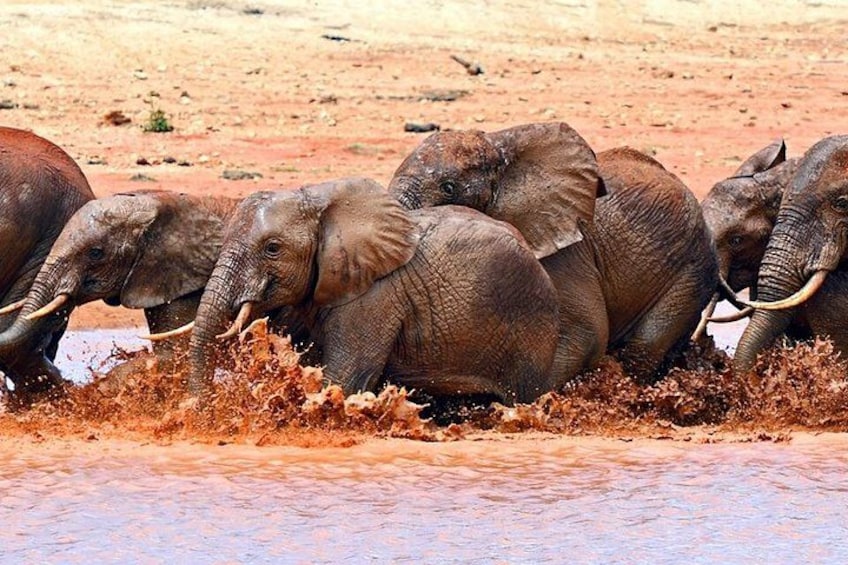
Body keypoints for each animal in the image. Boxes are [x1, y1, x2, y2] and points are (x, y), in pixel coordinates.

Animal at [187, 177, 560, 405]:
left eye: (272, 249)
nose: (201, 408)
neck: (321, 202)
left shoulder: (374, 298)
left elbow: (343, 379)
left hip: (530, 327)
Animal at [388, 122, 718, 383]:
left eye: (448, 187)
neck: (500, 147)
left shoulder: (567, 252)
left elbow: (589, 333)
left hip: (692, 269)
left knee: (644, 346)